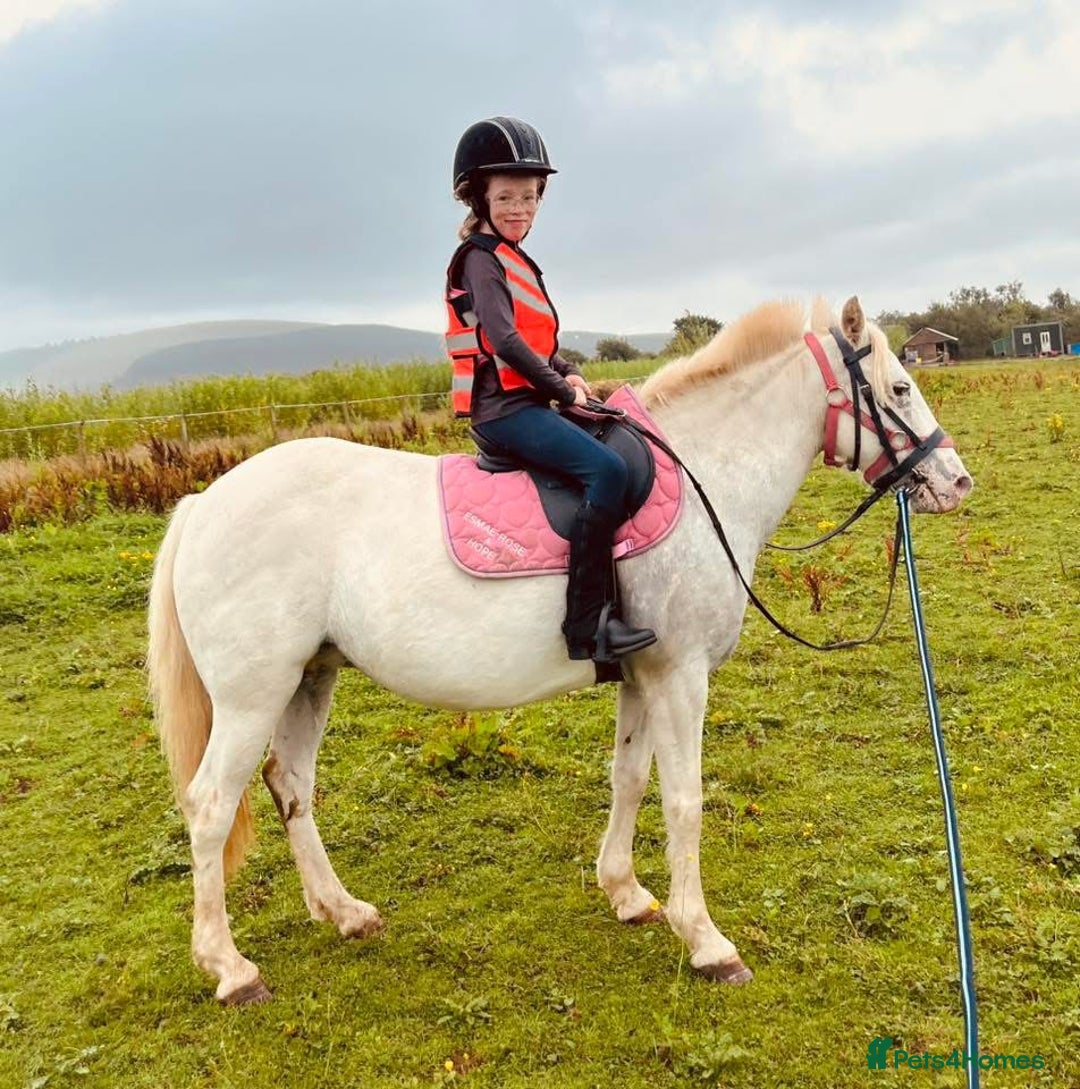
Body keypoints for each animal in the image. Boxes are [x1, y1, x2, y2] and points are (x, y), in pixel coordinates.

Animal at [147, 296, 972, 1004]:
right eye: (900, 387)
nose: (956, 480)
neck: (703, 473)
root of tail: (203, 505)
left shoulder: (643, 671)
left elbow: (630, 778)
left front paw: (627, 892)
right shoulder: (682, 675)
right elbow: (684, 800)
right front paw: (707, 941)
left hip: (308, 678)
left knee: (290, 785)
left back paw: (343, 910)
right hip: (251, 695)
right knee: (212, 805)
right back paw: (230, 967)